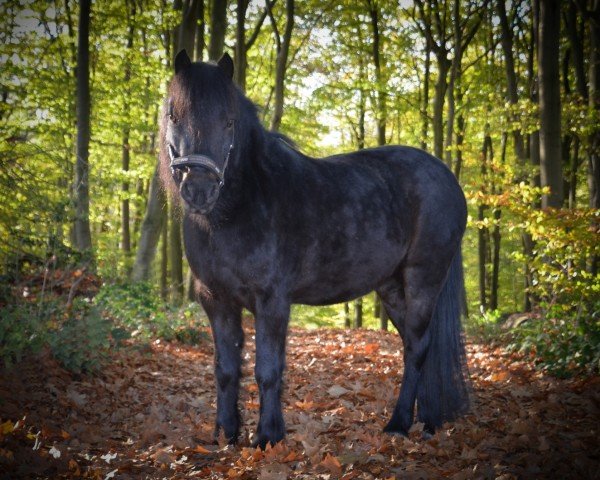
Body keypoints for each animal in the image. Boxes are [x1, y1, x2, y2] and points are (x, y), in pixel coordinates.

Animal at [162, 50, 472, 448]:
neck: (238, 209)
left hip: (424, 278)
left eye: (228, 121)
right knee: (415, 347)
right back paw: (427, 420)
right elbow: (226, 370)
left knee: (418, 347)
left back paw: (400, 423)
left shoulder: (272, 301)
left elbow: (268, 370)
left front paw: (267, 436)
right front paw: (227, 435)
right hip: (390, 286)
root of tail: (447, 177)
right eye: (174, 115)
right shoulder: (215, 300)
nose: (198, 190)